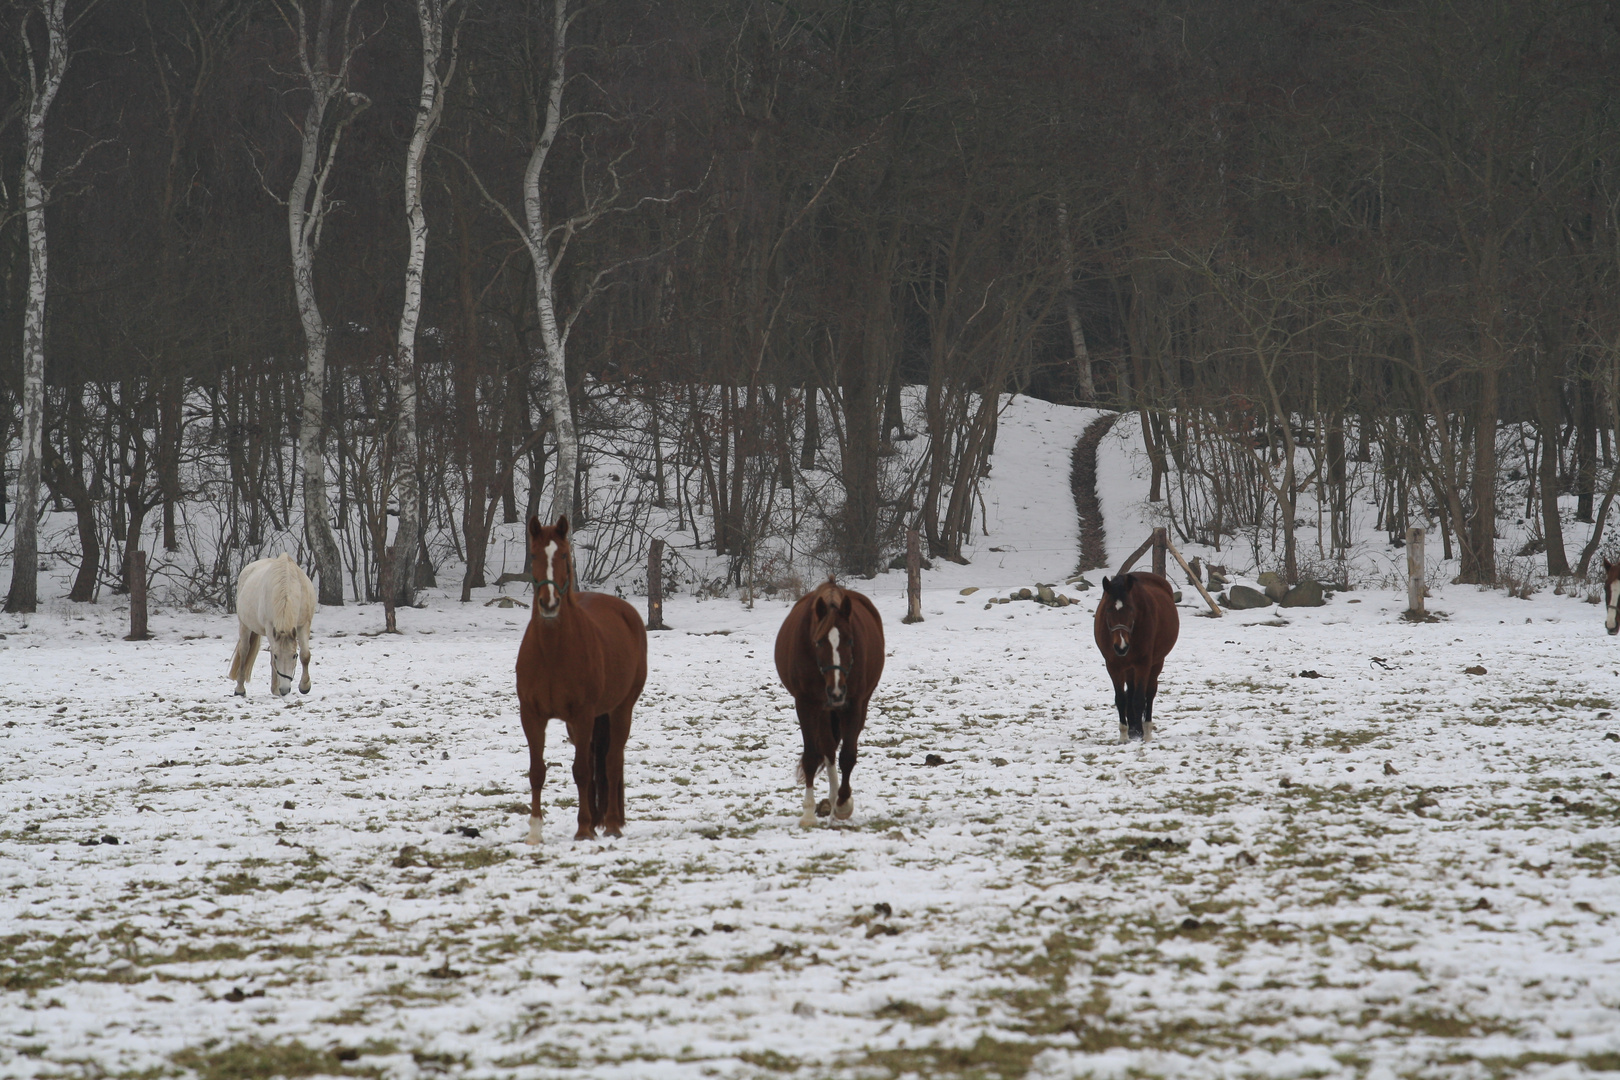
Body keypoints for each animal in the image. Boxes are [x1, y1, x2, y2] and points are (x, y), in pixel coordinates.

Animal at [228, 553, 315, 696]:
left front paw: (304, 687)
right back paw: (240, 689)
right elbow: (272, 656)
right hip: (244, 626)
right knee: (244, 651)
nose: (285, 689)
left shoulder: (304, 625)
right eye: (277, 657)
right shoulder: (270, 627)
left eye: (294, 656)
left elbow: (305, 655)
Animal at [515, 514, 648, 841]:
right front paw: (535, 832)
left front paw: (584, 829)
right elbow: (537, 771)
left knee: (612, 762)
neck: (552, 652)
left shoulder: (584, 714)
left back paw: (611, 823)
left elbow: (583, 771)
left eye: (564, 555)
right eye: (534, 555)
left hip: (620, 709)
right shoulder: (532, 715)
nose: (549, 604)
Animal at [774, 582, 887, 829]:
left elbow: (848, 756)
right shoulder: (805, 704)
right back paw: (832, 800)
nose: (836, 690)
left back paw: (837, 803)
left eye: (850, 641)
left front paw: (844, 804)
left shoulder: (853, 705)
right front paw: (808, 813)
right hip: (824, 711)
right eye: (818, 642)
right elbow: (810, 757)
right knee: (827, 749)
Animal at [1095, 573, 1185, 744]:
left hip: (1156, 664)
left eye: (1131, 608)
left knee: (1149, 694)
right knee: (1130, 692)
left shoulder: (1143, 664)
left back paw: (1144, 728)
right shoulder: (1113, 665)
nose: (1121, 646)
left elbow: (1139, 699)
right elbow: (1121, 699)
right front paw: (1124, 735)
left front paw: (1143, 733)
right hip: (1129, 668)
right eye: (1108, 609)